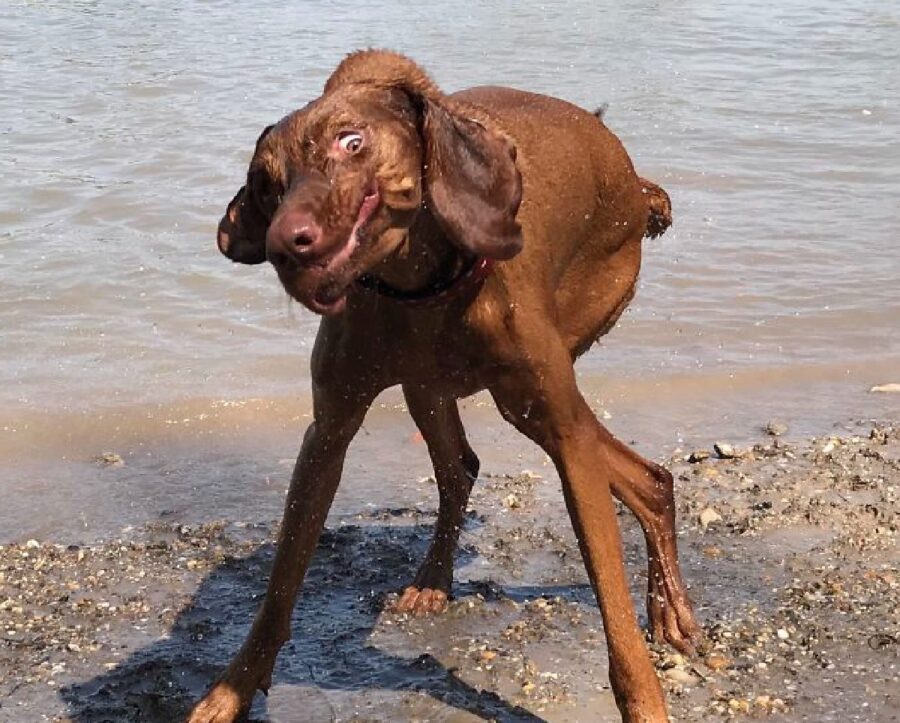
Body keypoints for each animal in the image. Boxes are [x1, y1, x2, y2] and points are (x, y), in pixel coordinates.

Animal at [188, 51, 696, 723]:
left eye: (353, 142)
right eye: (268, 182)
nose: (282, 246)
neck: (420, 287)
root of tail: (635, 183)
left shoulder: (562, 431)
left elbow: (614, 614)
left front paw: (644, 702)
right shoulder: (328, 432)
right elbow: (278, 593)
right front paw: (230, 692)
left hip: (541, 385)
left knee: (635, 472)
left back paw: (670, 607)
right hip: (434, 389)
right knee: (465, 466)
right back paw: (437, 578)